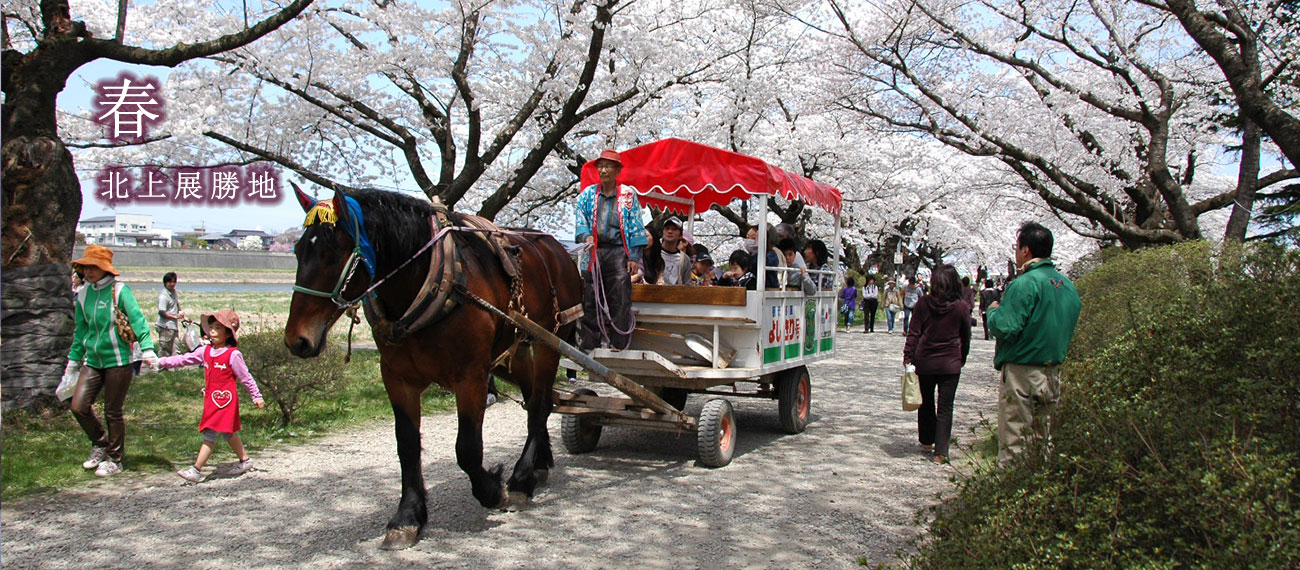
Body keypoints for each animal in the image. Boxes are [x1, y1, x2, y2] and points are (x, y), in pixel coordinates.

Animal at [289, 186, 585, 546]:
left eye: (332, 255)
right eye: (298, 250)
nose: (297, 339)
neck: (436, 280)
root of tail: (556, 248)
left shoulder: (471, 376)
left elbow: (467, 449)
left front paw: (492, 490)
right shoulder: (396, 377)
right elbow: (406, 445)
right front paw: (407, 516)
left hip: (549, 340)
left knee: (541, 403)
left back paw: (520, 478)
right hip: (512, 348)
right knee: (533, 401)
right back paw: (538, 465)